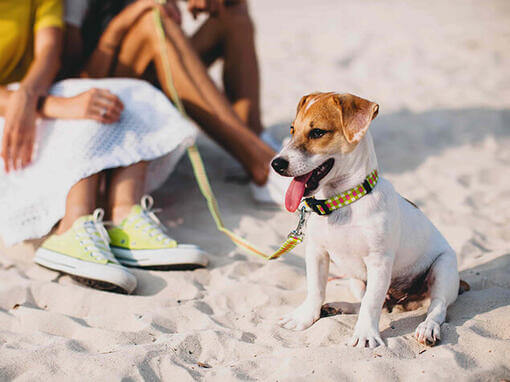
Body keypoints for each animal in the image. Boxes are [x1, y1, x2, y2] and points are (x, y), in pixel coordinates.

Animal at [272, 92, 460, 346]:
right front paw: (305, 317)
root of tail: (402, 301)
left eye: (318, 132)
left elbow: (371, 304)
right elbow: (316, 289)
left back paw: (428, 328)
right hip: (356, 280)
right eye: (292, 129)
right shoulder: (317, 252)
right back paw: (338, 307)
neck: (343, 203)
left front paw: (365, 335)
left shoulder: (379, 262)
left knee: (437, 307)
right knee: (372, 303)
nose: (276, 164)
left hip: (443, 268)